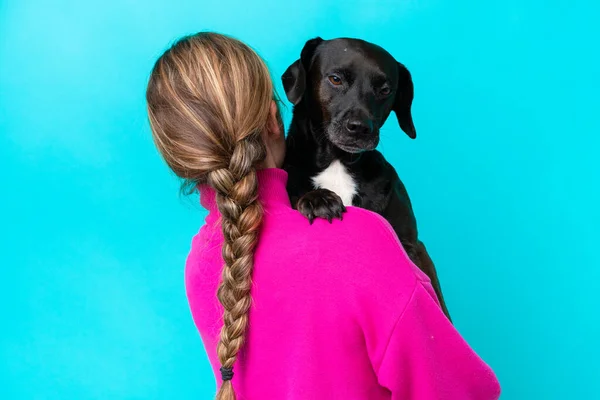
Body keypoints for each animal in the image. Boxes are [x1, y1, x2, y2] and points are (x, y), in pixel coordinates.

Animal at [282, 36, 450, 320]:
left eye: (385, 89)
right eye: (335, 79)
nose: (360, 128)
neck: (339, 162)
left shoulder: (413, 246)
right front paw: (317, 199)